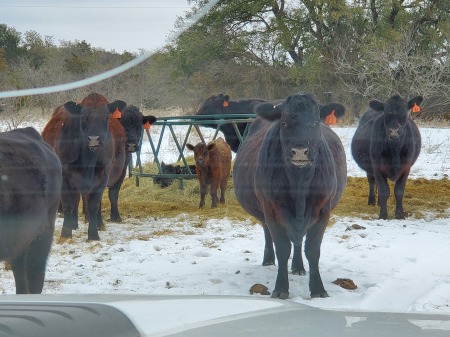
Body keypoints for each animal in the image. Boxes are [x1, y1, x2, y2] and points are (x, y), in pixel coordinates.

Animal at [234, 93, 346, 298]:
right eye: (284, 123)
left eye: (315, 122)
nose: (300, 151)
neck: (299, 182)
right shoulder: (271, 208)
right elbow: (282, 249)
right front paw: (280, 288)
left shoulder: (323, 210)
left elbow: (312, 250)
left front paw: (318, 289)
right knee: (268, 232)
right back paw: (268, 259)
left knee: (298, 240)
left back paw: (298, 267)